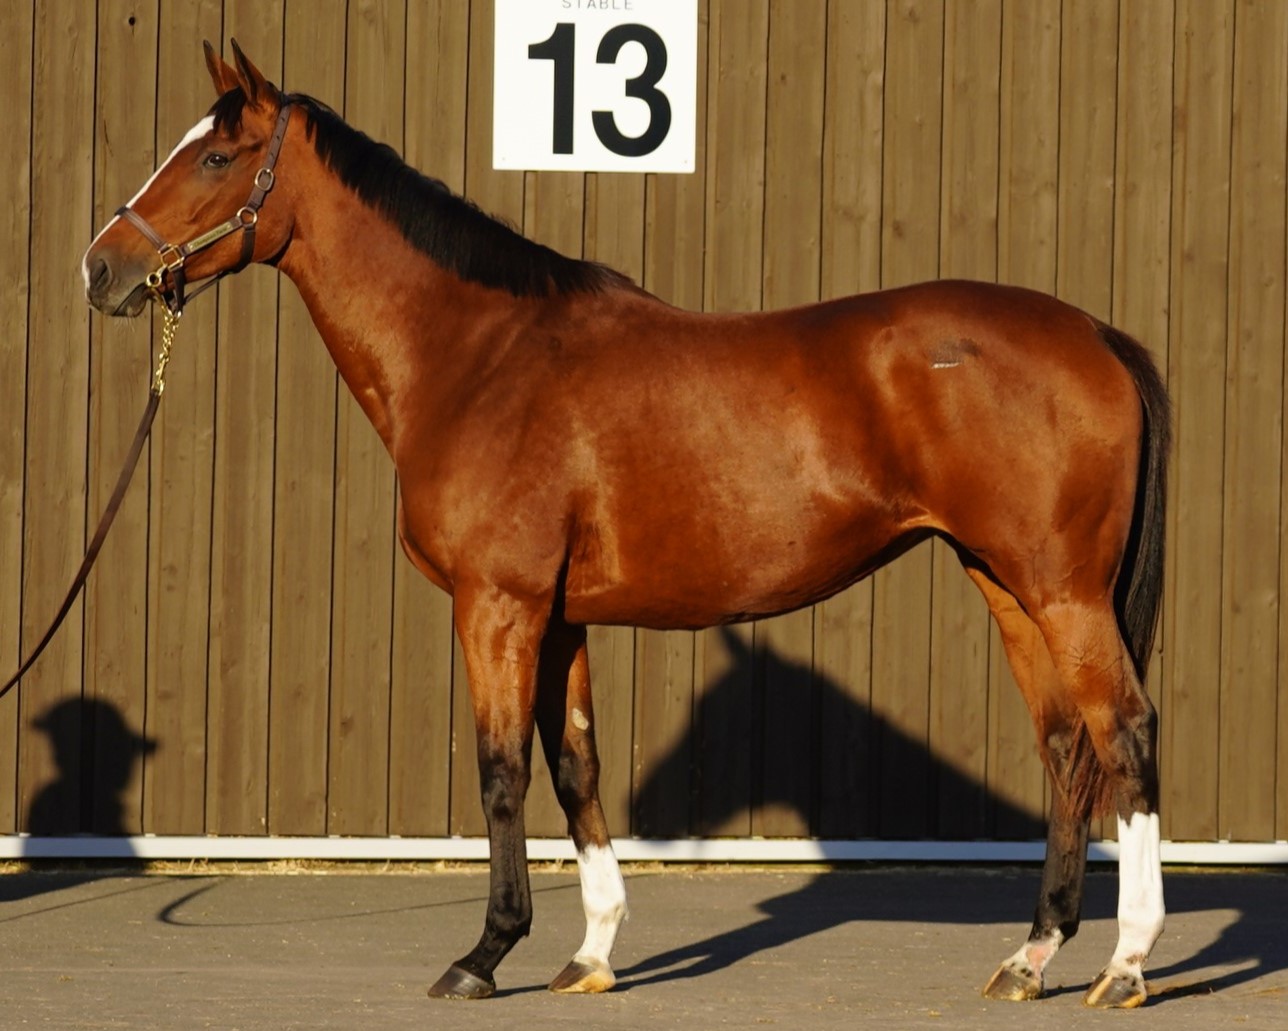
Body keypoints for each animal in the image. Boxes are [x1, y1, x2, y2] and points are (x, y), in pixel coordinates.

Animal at [82, 41, 1171, 1009]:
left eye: (215, 157)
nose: (102, 268)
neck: (481, 356)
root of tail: (1096, 332)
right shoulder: (560, 616)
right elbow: (575, 766)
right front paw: (590, 950)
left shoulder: (498, 605)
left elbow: (501, 770)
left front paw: (484, 954)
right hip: (1008, 582)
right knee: (1067, 743)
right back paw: (1031, 956)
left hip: (1063, 592)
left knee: (1124, 731)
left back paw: (1124, 964)